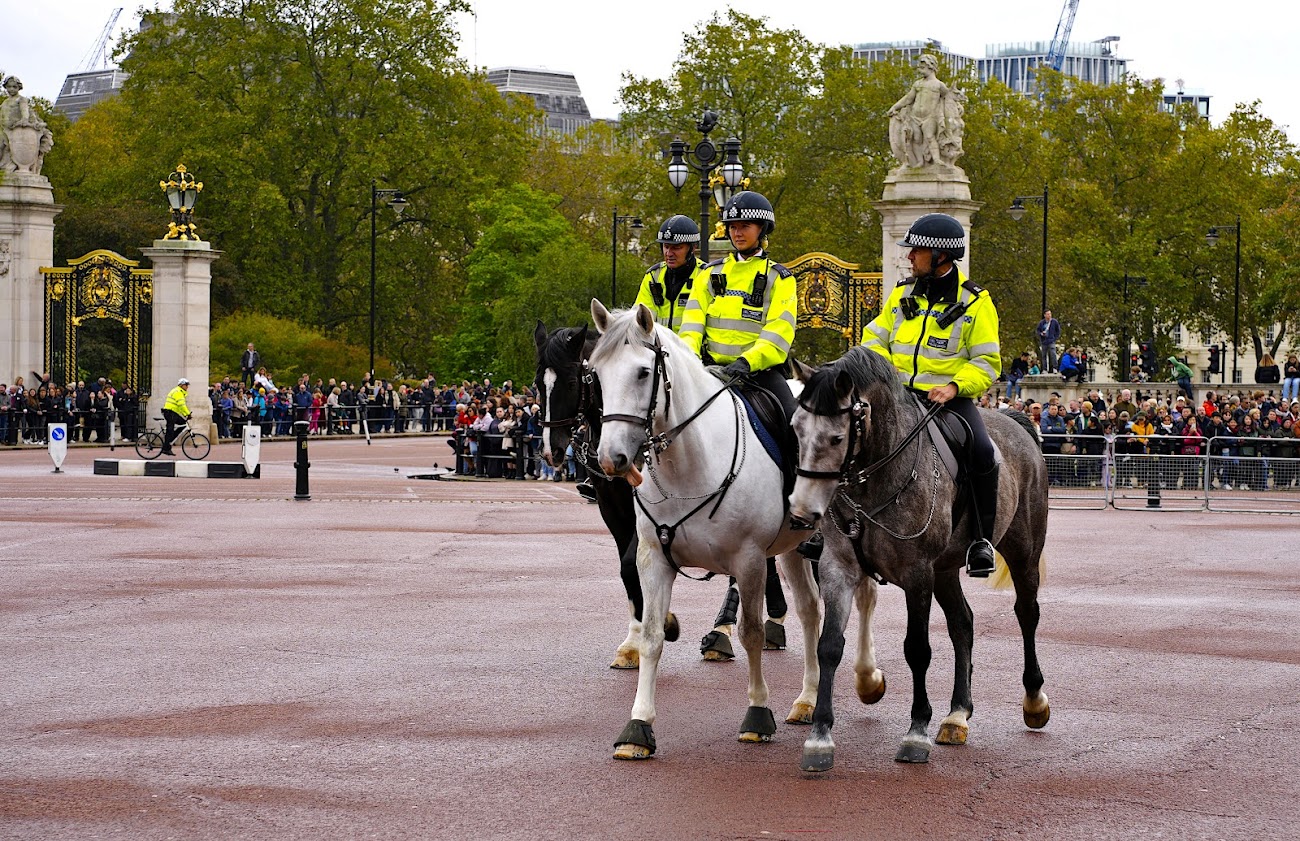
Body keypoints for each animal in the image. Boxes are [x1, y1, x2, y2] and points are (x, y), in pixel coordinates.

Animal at [592, 302, 821, 764]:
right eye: (597, 374)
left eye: (643, 372)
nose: (611, 459)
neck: (689, 466)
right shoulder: (653, 559)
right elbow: (652, 636)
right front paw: (638, 726)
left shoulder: (749, 561)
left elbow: (751, 633)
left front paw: (757, 713)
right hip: (793, 548)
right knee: (811, 612)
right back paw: (806, 701)